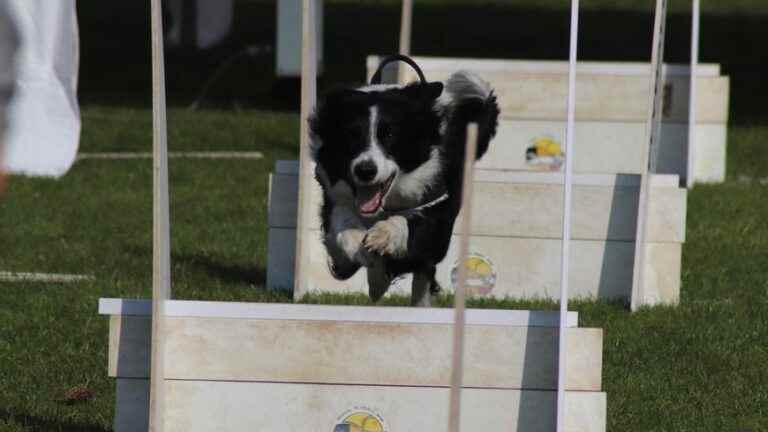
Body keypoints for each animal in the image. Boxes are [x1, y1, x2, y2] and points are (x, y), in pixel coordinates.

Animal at [308, 56, 500, 308]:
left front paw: (382, 236)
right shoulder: (333, 197)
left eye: (389, 135)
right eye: (351, 135)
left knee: (424, 272)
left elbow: (411, 226)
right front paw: (361, 248)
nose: (365, 171)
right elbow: (343, 229)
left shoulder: (438, 207)